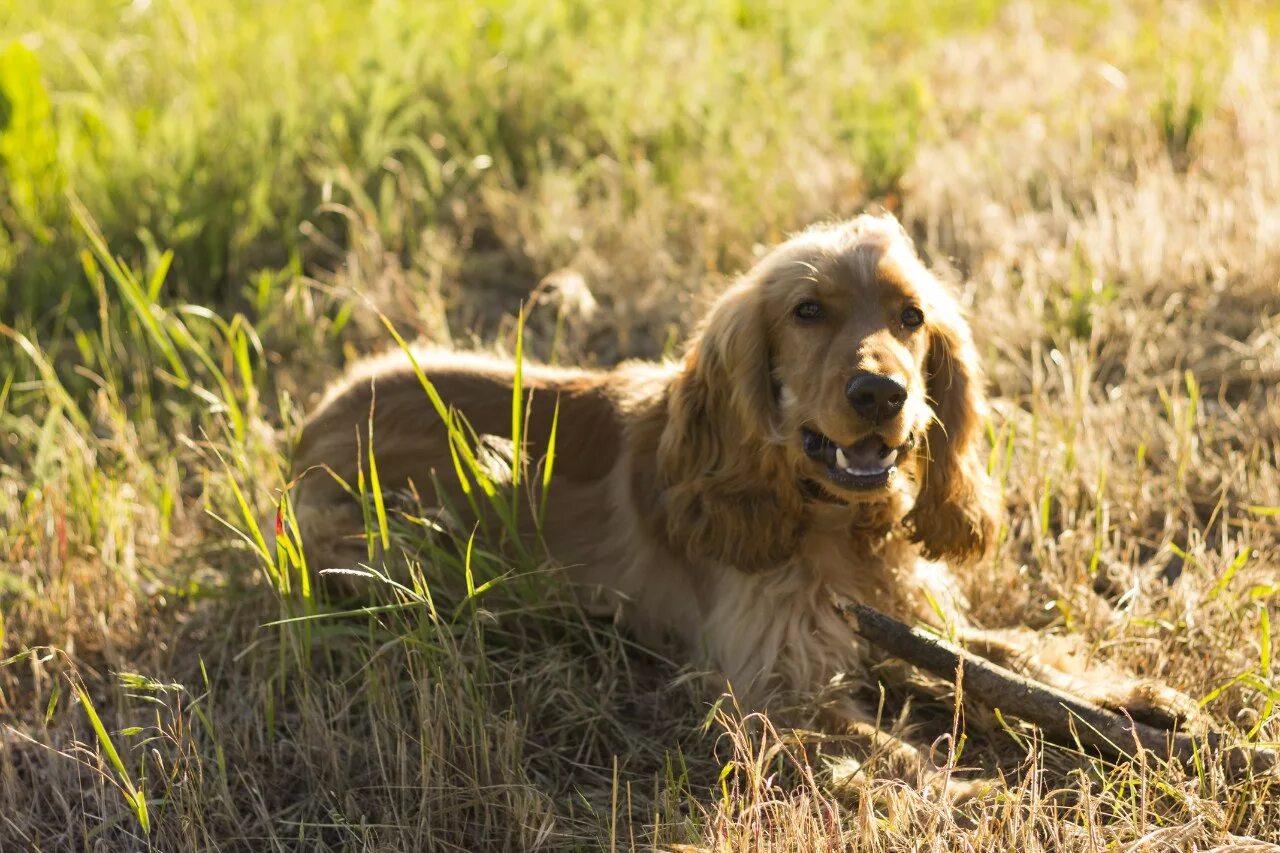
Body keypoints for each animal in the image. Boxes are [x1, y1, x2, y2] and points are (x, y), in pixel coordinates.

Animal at [290, 212, 1198, 788]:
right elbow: (881, 741)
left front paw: (1133, 701)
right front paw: (962, 790)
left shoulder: (898, 613)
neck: (830, 519)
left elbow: (1006, 652)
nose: (880, 393)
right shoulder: (765, 683)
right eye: (808, 311)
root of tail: (314, 415)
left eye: (911, 316)